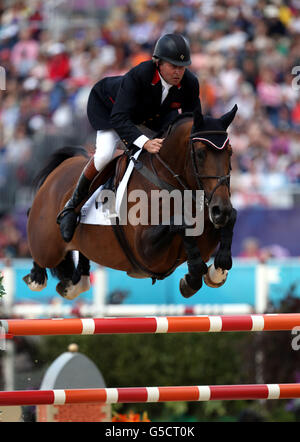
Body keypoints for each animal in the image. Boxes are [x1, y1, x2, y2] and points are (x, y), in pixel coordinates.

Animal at [23, 104, 238, 300]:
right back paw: (37, 275)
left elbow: (229, 222)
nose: (220, 210)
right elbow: (181, 224)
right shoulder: (146, 251)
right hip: (47, 247)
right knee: (40, 255)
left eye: (230, 152)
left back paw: (73, 283)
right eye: (201, 153)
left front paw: (216, 271)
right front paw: (193, 275)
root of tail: (58, 171)